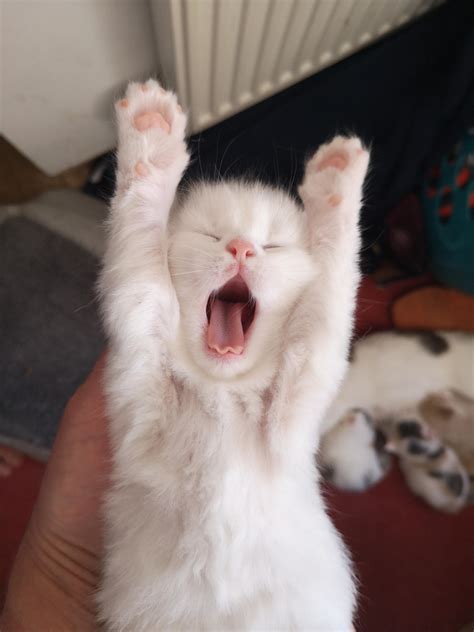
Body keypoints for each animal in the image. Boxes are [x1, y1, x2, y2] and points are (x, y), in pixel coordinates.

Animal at [97, 78, 370, 628]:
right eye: (212, 235)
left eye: (274, 246)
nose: (242, 248)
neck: (221, 392)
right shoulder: (139, 351)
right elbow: (140, 253)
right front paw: (150, 138)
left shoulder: (298, 399)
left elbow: (328, 292)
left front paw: (336, 186)